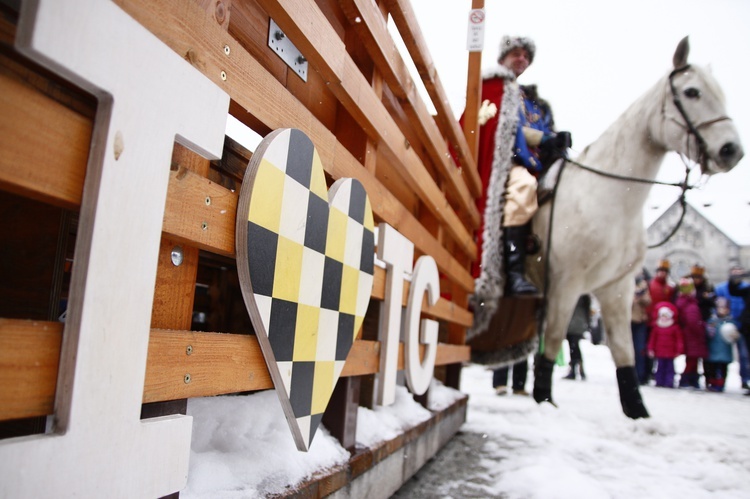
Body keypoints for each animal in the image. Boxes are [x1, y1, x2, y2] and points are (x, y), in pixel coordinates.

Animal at [536, 38, 748, 418]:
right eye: (692, 92)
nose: (731, 151)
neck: (606, 196)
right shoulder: (566, 283)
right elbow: (555, 340)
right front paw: (543, 399)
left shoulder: (616, 288)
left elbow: (624, 352)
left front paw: (638, 413)